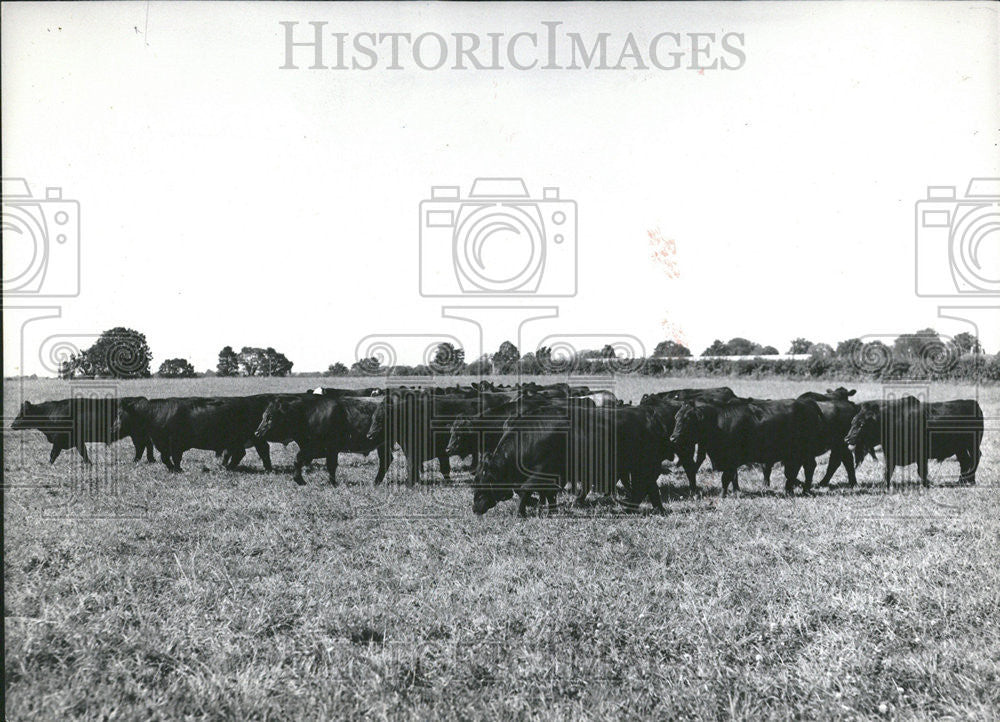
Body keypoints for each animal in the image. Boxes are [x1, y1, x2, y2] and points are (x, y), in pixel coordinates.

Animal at [9, 396, 155, 464]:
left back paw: (144, 460)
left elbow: (53, 454)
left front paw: (48, 464)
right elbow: (83, 452)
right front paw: (89, 463)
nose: (12, 425)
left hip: (138, 434)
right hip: (137, 434)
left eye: (22, 413)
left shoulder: (59, 440)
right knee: (144, 446)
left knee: (143, 446)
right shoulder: (77, 441)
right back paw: (143, 460)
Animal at [111, 396, 280, 470]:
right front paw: (175, 468)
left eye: (120, 414)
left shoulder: (172, 442)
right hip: (242, 439)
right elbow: (170, 458)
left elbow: (168, 458)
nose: (113, 428)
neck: (155, 413)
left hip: (250, 437)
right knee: (242, 453)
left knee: (258, 450)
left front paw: (176, 469)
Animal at [668, 394, 824, 496]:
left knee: (808, 467)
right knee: (795, 469)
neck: (718, 422)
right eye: (676, 417)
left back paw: (805, 490)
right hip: (796, 453)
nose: (673, 438)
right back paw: (790, 490)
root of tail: (806, 402)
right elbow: (731, 477)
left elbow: (726, 478)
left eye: (688, 419)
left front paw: (723, 495)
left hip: (805, 450)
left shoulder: (731, 459)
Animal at [844, 396, 984, 486]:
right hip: (960, 448)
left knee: (974, 459)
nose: (847, 439)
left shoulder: (921, 455)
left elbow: (921, 471)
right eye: (852, 421)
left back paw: (970, 480)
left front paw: (926, 484)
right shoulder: (890, 454)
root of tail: (974, 404)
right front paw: (884, 485)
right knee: (965, 461)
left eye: (862, 424)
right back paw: (962, 480)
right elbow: (887, 471)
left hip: (972, 445)